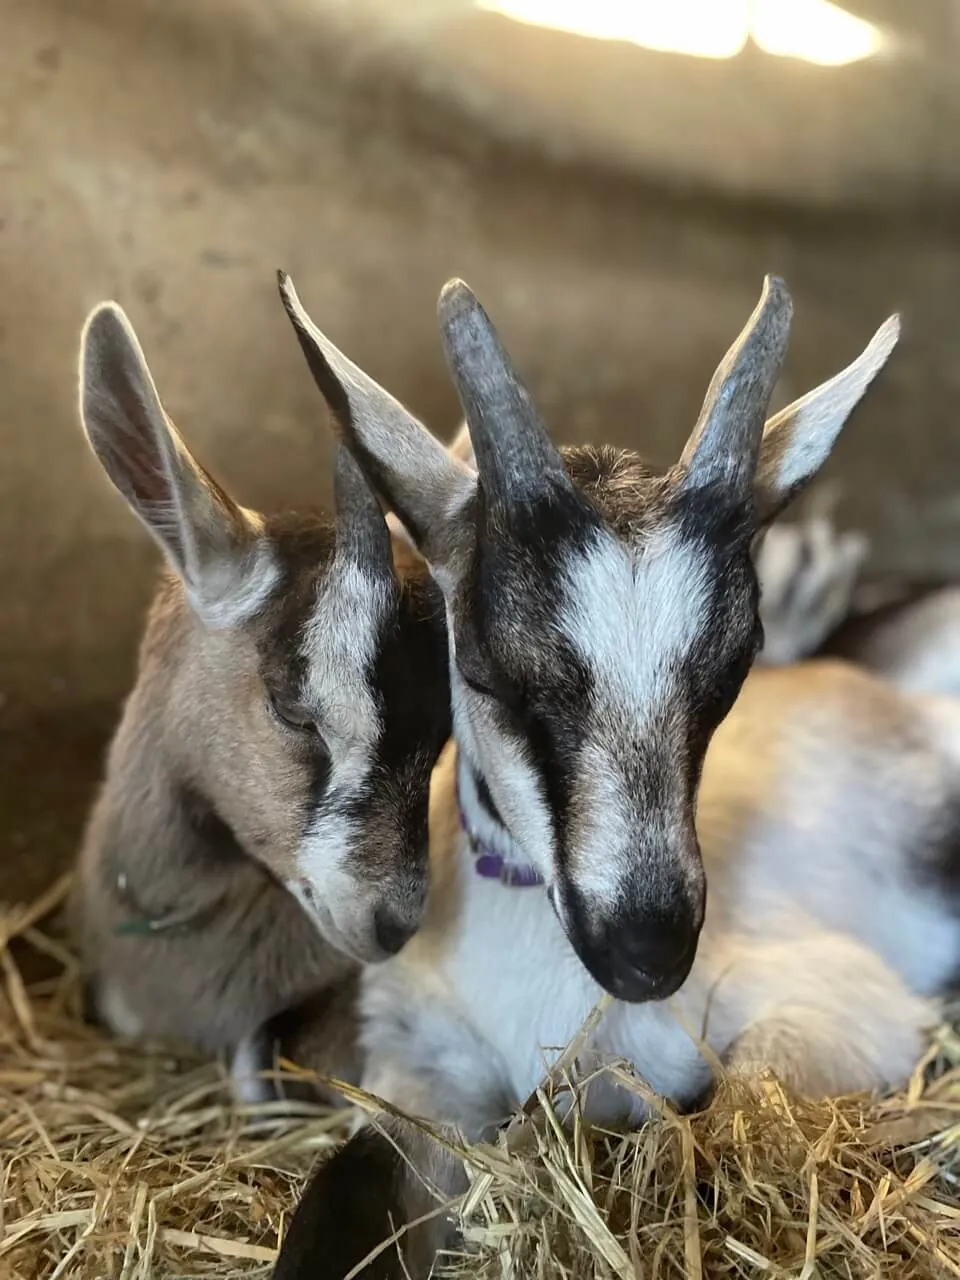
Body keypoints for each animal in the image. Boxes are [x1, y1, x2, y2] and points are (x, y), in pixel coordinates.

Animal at [266, 273, 956, 1279]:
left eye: (731, 669)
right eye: (486, 669)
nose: (648, 950)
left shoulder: (835, 1011)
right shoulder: (422, 1071)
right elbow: (337, 1206)